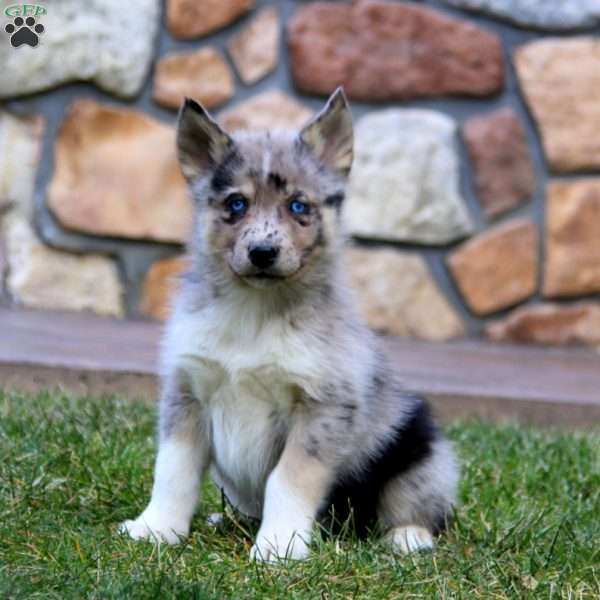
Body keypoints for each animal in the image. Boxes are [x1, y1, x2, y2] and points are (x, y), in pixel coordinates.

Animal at [122, 88, 460, 564]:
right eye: (236, 204)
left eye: (298, 206)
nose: (263, 253)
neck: (255, 311)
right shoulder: (186, 392)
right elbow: (172, 470)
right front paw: (156, 529)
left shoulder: (321, 408)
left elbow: (286, 480)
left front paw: (278, 546)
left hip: (419, 451)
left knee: (420, 506)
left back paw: (407, 538)